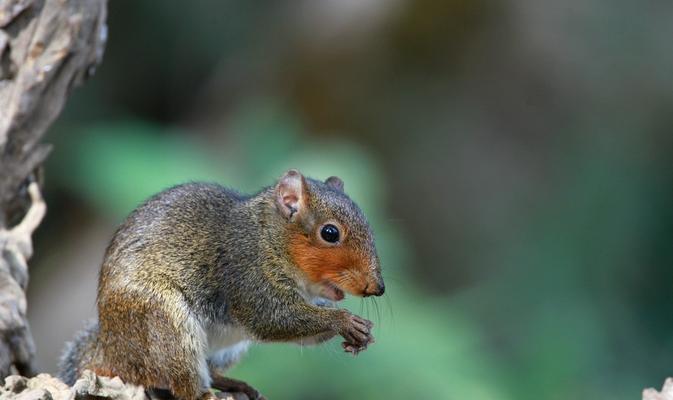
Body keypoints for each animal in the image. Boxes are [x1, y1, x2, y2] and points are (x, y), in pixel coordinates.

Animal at [57, 170, 384, 400]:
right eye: (330, 233)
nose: (377, 287)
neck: (268, 238)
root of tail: (111, 349)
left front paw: (361, 332)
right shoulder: (246, 272)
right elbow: (272, 318)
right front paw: (343, 320)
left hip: (226, 348)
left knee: (209, 372)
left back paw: (236, 385)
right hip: (165, 326)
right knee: (183, 386)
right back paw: (206, 395)